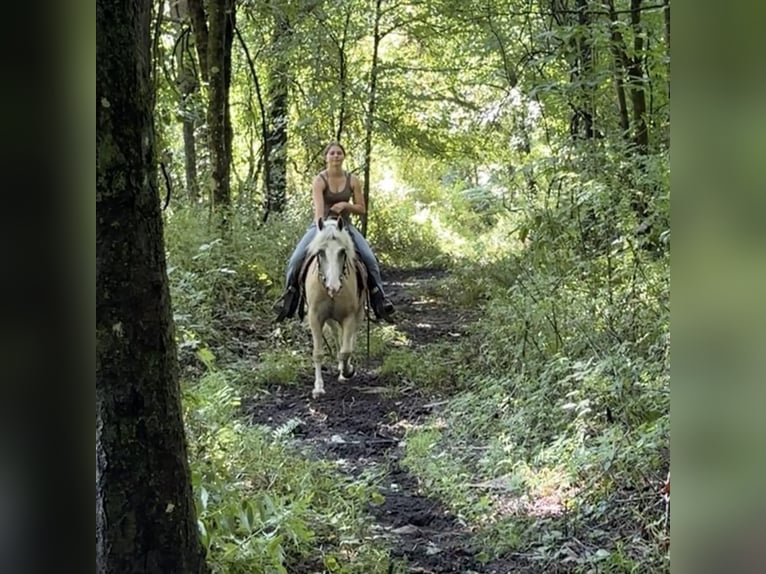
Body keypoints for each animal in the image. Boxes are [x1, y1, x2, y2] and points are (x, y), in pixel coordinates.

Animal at [304, 216, 368, 400]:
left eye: (342, 252)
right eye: (320, 252)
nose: (333, 287)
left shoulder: (349, 317)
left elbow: (346, 350)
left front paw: (347, 371)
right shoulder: (315, 317)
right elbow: (318, 353)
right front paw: (318, 388)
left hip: (358, 314)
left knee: (350, 340)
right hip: (330, 319)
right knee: (336, 335)